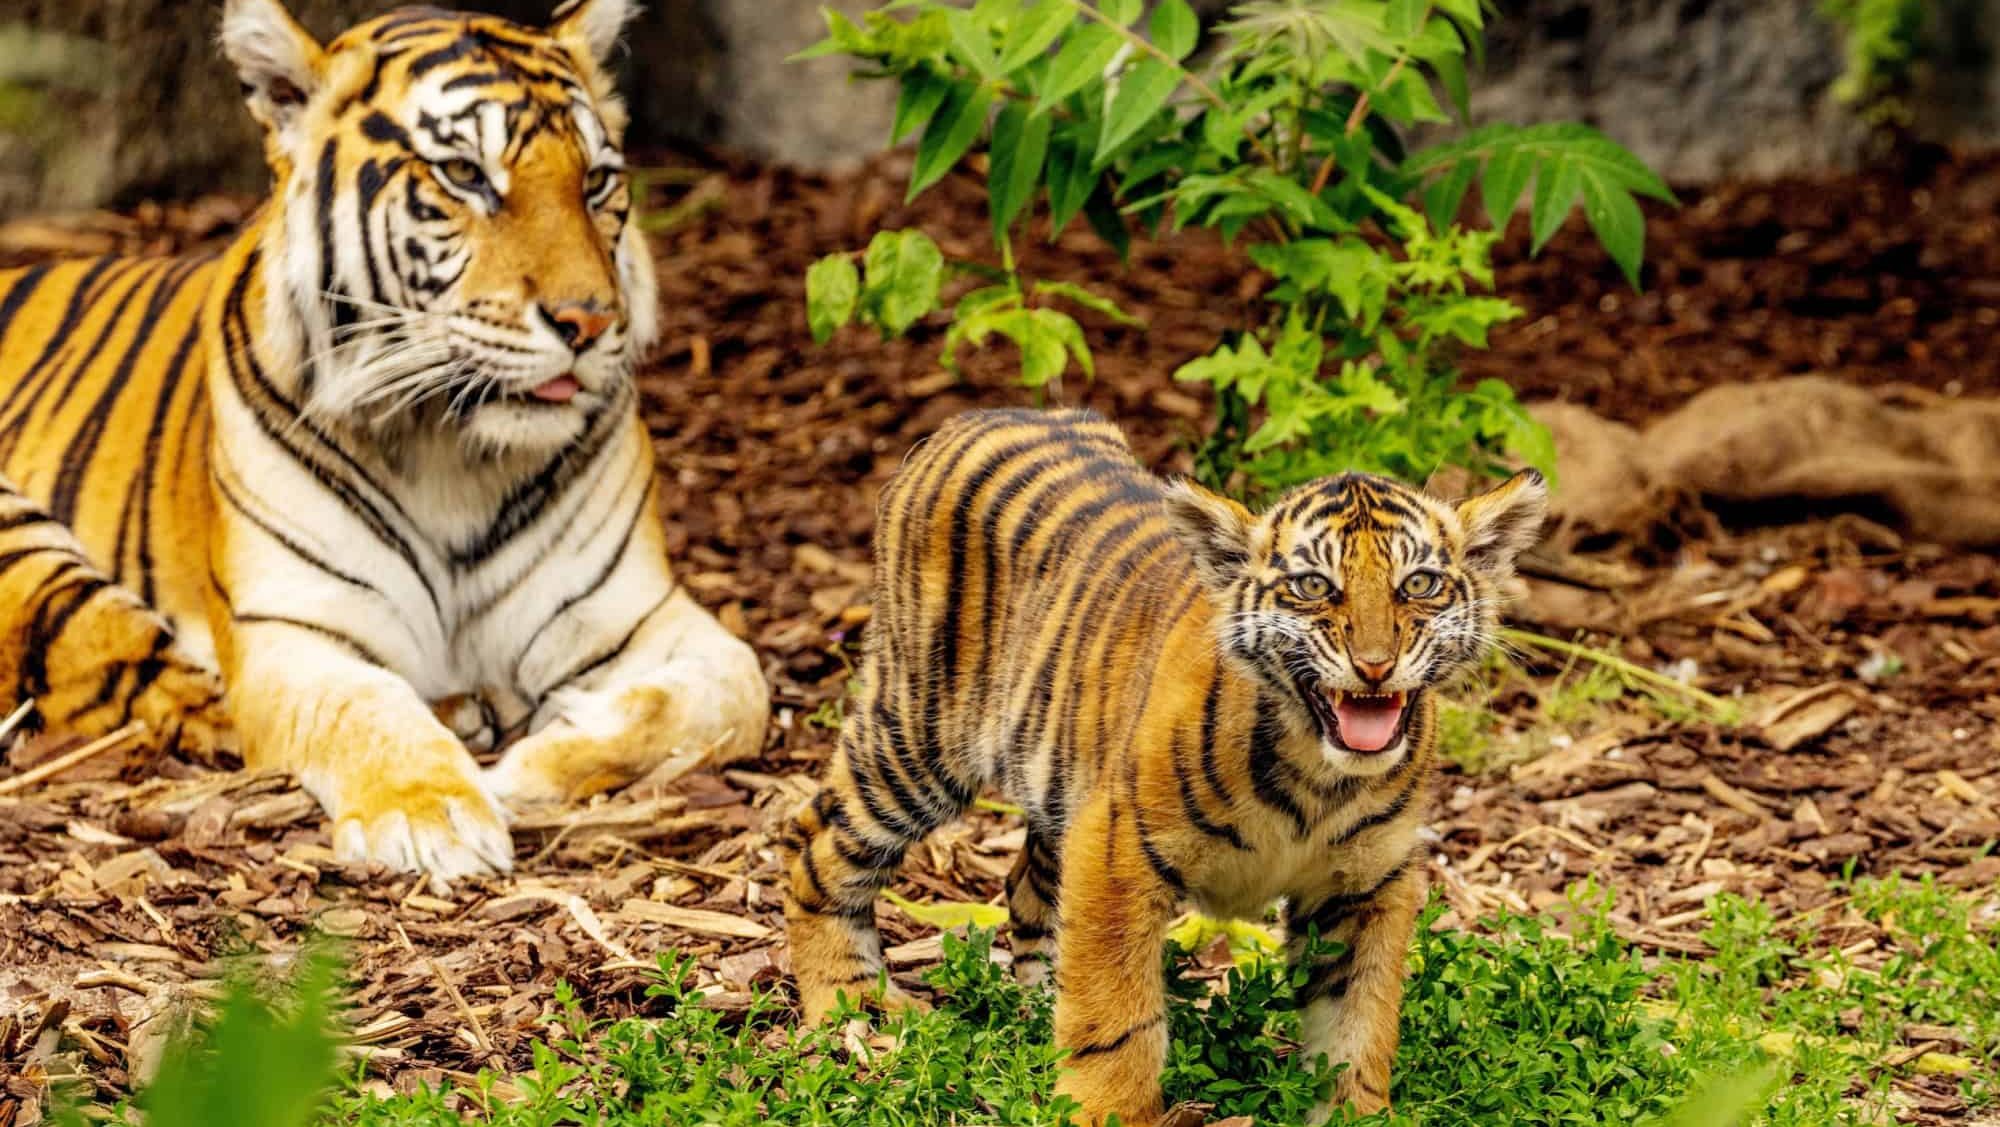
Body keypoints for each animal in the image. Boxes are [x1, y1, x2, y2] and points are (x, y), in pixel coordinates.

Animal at [0, 0, 768, 884]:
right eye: (465, 174)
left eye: (596, 180)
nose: (589, 320)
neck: (454, 454)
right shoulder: (293, 633)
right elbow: (364, 705)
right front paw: (434, 813)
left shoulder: (635, 614)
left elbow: (728, 694)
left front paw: (533, 761)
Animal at [779, 408, 1546, 1125]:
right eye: (1311, 585)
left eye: (1419, 583)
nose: (1375, 664)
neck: (1319, 777)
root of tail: (980, 415)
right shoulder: (1116, 850)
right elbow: (1115, 1010)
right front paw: (1106, 1110)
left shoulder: (1370, 883)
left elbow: (1358, 1023)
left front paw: (1353, 1112)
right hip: (922, 733)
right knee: (815, 841)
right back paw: (853, 1011)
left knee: (1025, 886)